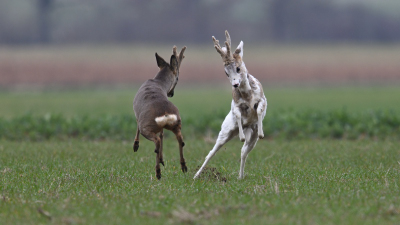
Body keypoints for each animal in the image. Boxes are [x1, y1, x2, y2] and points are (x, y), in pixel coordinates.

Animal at [193, 31, 266, 179]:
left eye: (238, 68)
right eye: (226, 72)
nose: (235, 84)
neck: (248, 96)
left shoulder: (262, 100)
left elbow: (259, 110)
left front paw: (262, 133)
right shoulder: (236, 107)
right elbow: (238, 115)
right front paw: (241, 136)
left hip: (252, 139)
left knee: (243, 152)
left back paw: (240, 176)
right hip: (225, 133)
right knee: (211, 153)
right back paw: (195, 176)